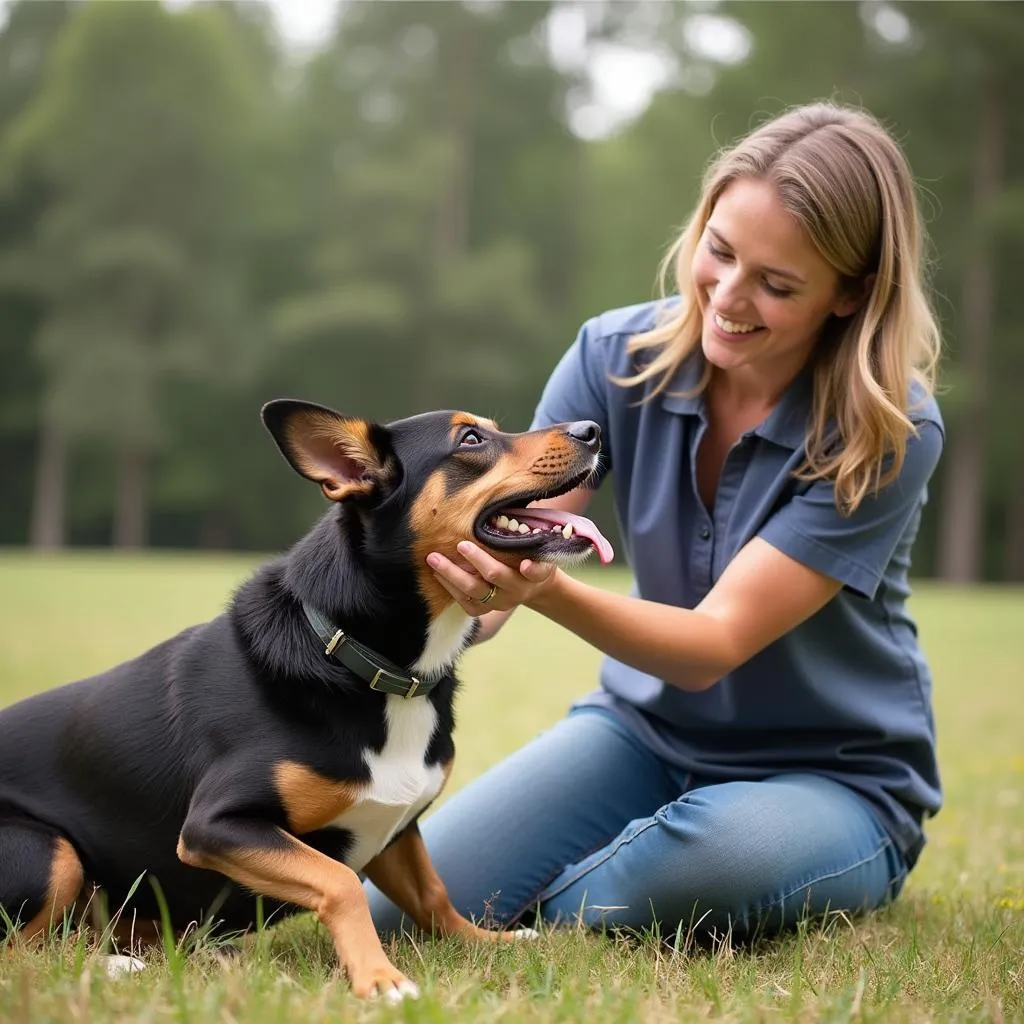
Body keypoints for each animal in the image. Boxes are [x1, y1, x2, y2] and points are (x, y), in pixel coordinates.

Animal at [0, 397, 606, 999]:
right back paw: (114, 966)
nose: (593, 430)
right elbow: (339, 882)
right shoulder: (216, 825)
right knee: (23, 951)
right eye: (471, 440)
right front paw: (381, 978)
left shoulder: (398, 828)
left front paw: (486, 942)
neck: (366, 663)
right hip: (47, 853)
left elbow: (433, 894)